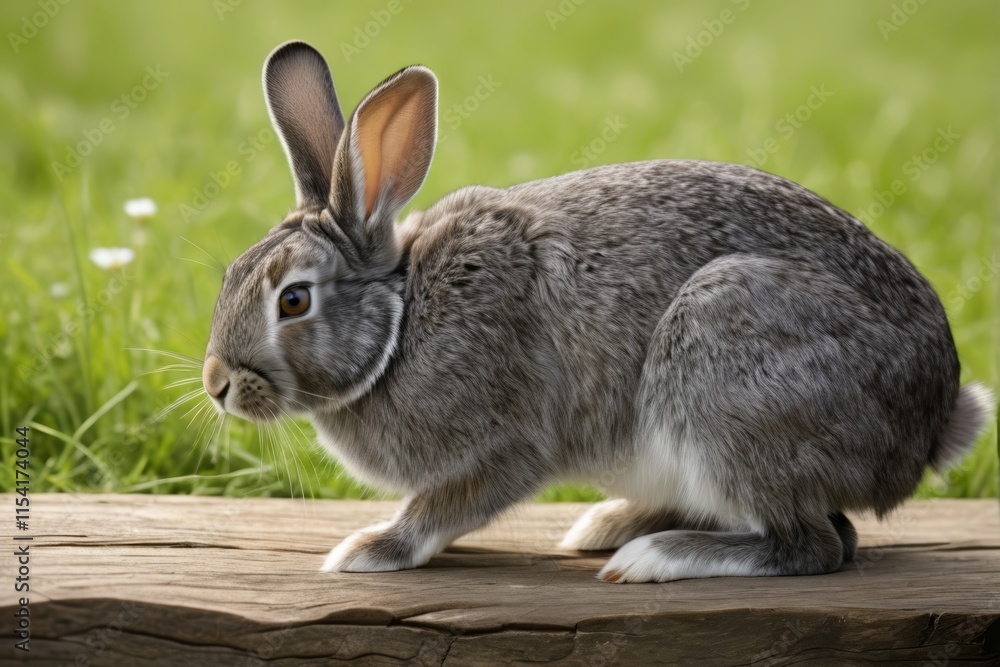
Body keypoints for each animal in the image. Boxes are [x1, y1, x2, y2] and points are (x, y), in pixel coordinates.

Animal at [201, 40, 994, 583]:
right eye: (231, 274)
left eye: (293, 299)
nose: (217, 384)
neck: (400, 322)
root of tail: (931, 423)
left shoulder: (511, 443)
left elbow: (445, 506)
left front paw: (368, 548)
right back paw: (609, 523)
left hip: (723, 356)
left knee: (818, 544)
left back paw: (654, 556)